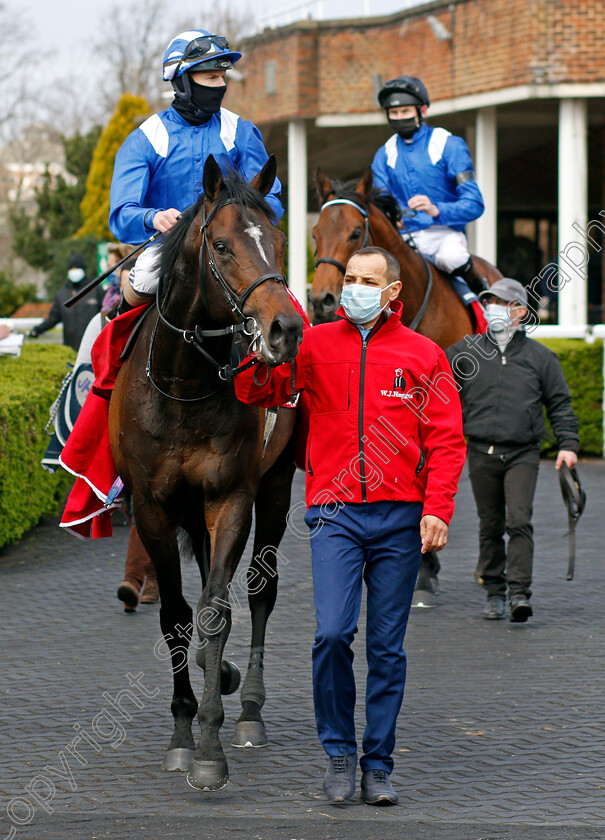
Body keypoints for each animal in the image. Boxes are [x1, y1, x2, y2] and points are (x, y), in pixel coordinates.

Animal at [107, 158, 302, 796]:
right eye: (221, 245)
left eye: (280, 241)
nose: (284, 327)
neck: (184, 387)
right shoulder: (152, 507)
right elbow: (174, 617)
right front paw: (181, 732)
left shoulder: (231, 498)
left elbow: (216, 613)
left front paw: (211, 747)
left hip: (277, 487)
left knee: (260, 593)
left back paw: (250, 710)